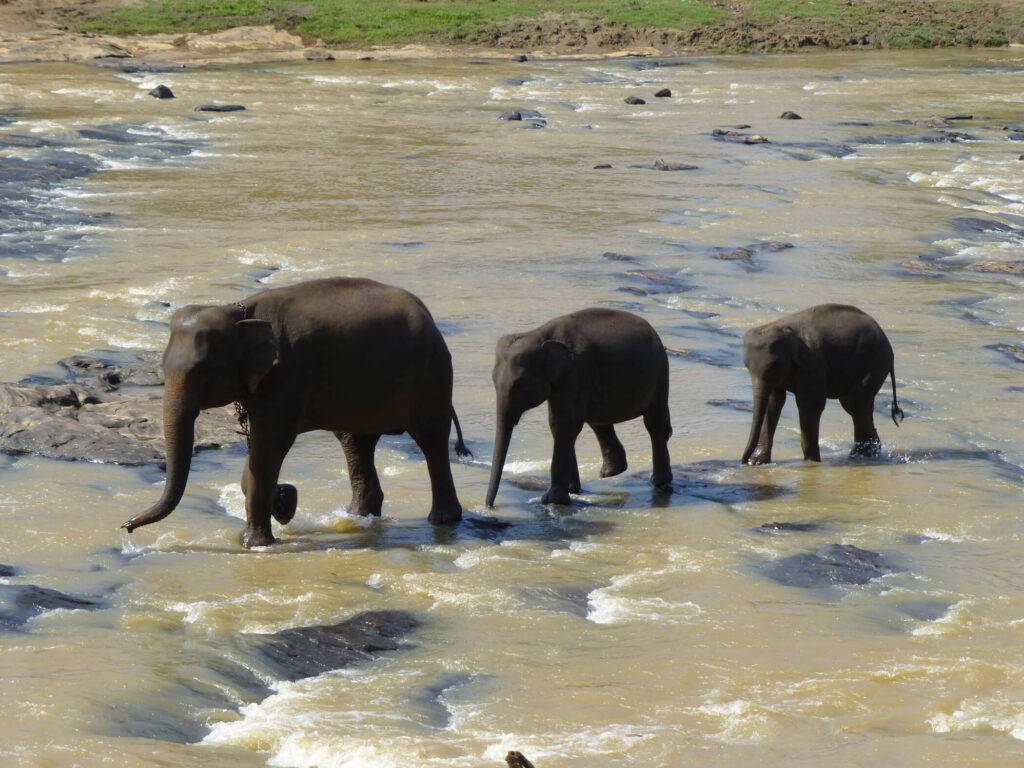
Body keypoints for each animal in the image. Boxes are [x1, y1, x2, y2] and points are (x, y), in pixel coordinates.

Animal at [122, 277, 468, 548]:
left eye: (203, 373)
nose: (126, 526)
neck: (238, 312)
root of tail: (428, 315)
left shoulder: (287, 374)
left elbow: (270, 445)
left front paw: (254, 542)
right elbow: (259, 450)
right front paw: (283, 502)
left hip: (432, 376)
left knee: (431, 440)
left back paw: (443, 520)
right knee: (356, 442)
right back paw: (357, 517)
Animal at [485, 308, 673, 507]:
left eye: (520, 384)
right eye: (493, 381)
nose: (490, 506)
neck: (538, 335)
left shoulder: (576, 372)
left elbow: (565, 423)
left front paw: (552, 500)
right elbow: (557, 424)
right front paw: (571, 490)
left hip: (660, 374)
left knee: (654, 423)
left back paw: (658, 483)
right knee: (599, 422)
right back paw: (611, 472)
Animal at [741, 303, 904, 465]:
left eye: (775, 365)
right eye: (746, 365)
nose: (743, 461)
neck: (781, 326)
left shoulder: (812, 364)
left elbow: (810, 404)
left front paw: (811, 462)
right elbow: (775, 402)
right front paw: (757, 462)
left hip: (876, 363)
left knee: (855, 403)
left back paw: (858, 456)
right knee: (855, 405)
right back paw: (869, 453)